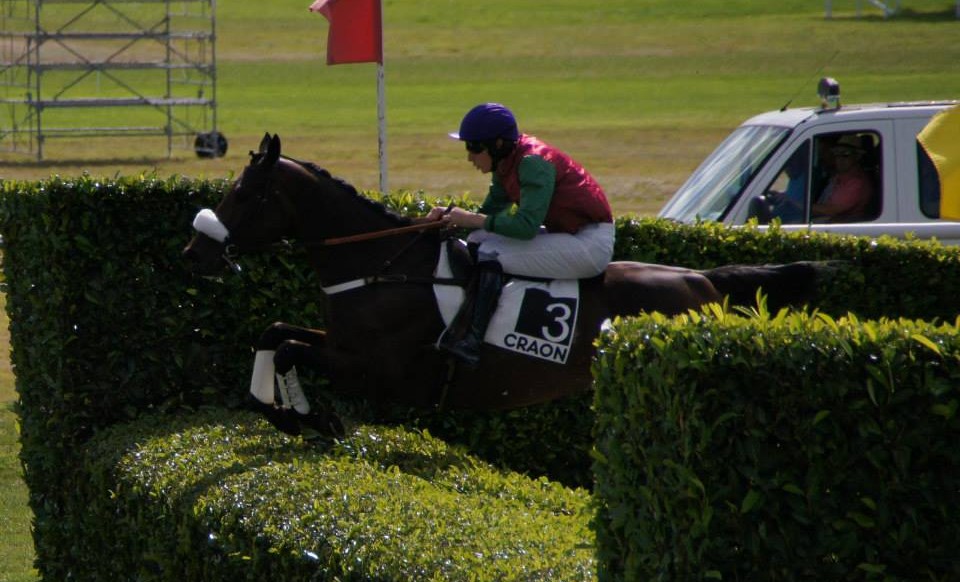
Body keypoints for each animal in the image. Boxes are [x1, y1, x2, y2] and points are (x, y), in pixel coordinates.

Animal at [184, 135, 836, 440]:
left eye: (244, 192)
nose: (195, 252)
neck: (380, 263)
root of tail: (702, 278)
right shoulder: (342, 342)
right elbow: (274, 333)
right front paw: (280, 408)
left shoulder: (379, 369)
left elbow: (289, 348)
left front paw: (304, 416)